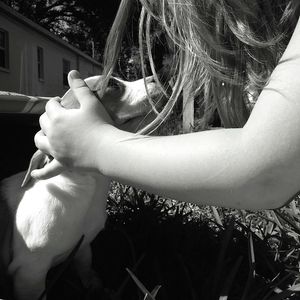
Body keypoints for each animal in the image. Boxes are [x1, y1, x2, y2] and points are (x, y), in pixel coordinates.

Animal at [0, 74, 159, 298]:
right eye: (112, 84)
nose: (154, 77)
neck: (85, 189)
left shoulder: (83, 246)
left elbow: (85, 264)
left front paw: (95, 285)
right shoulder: (30, 272)